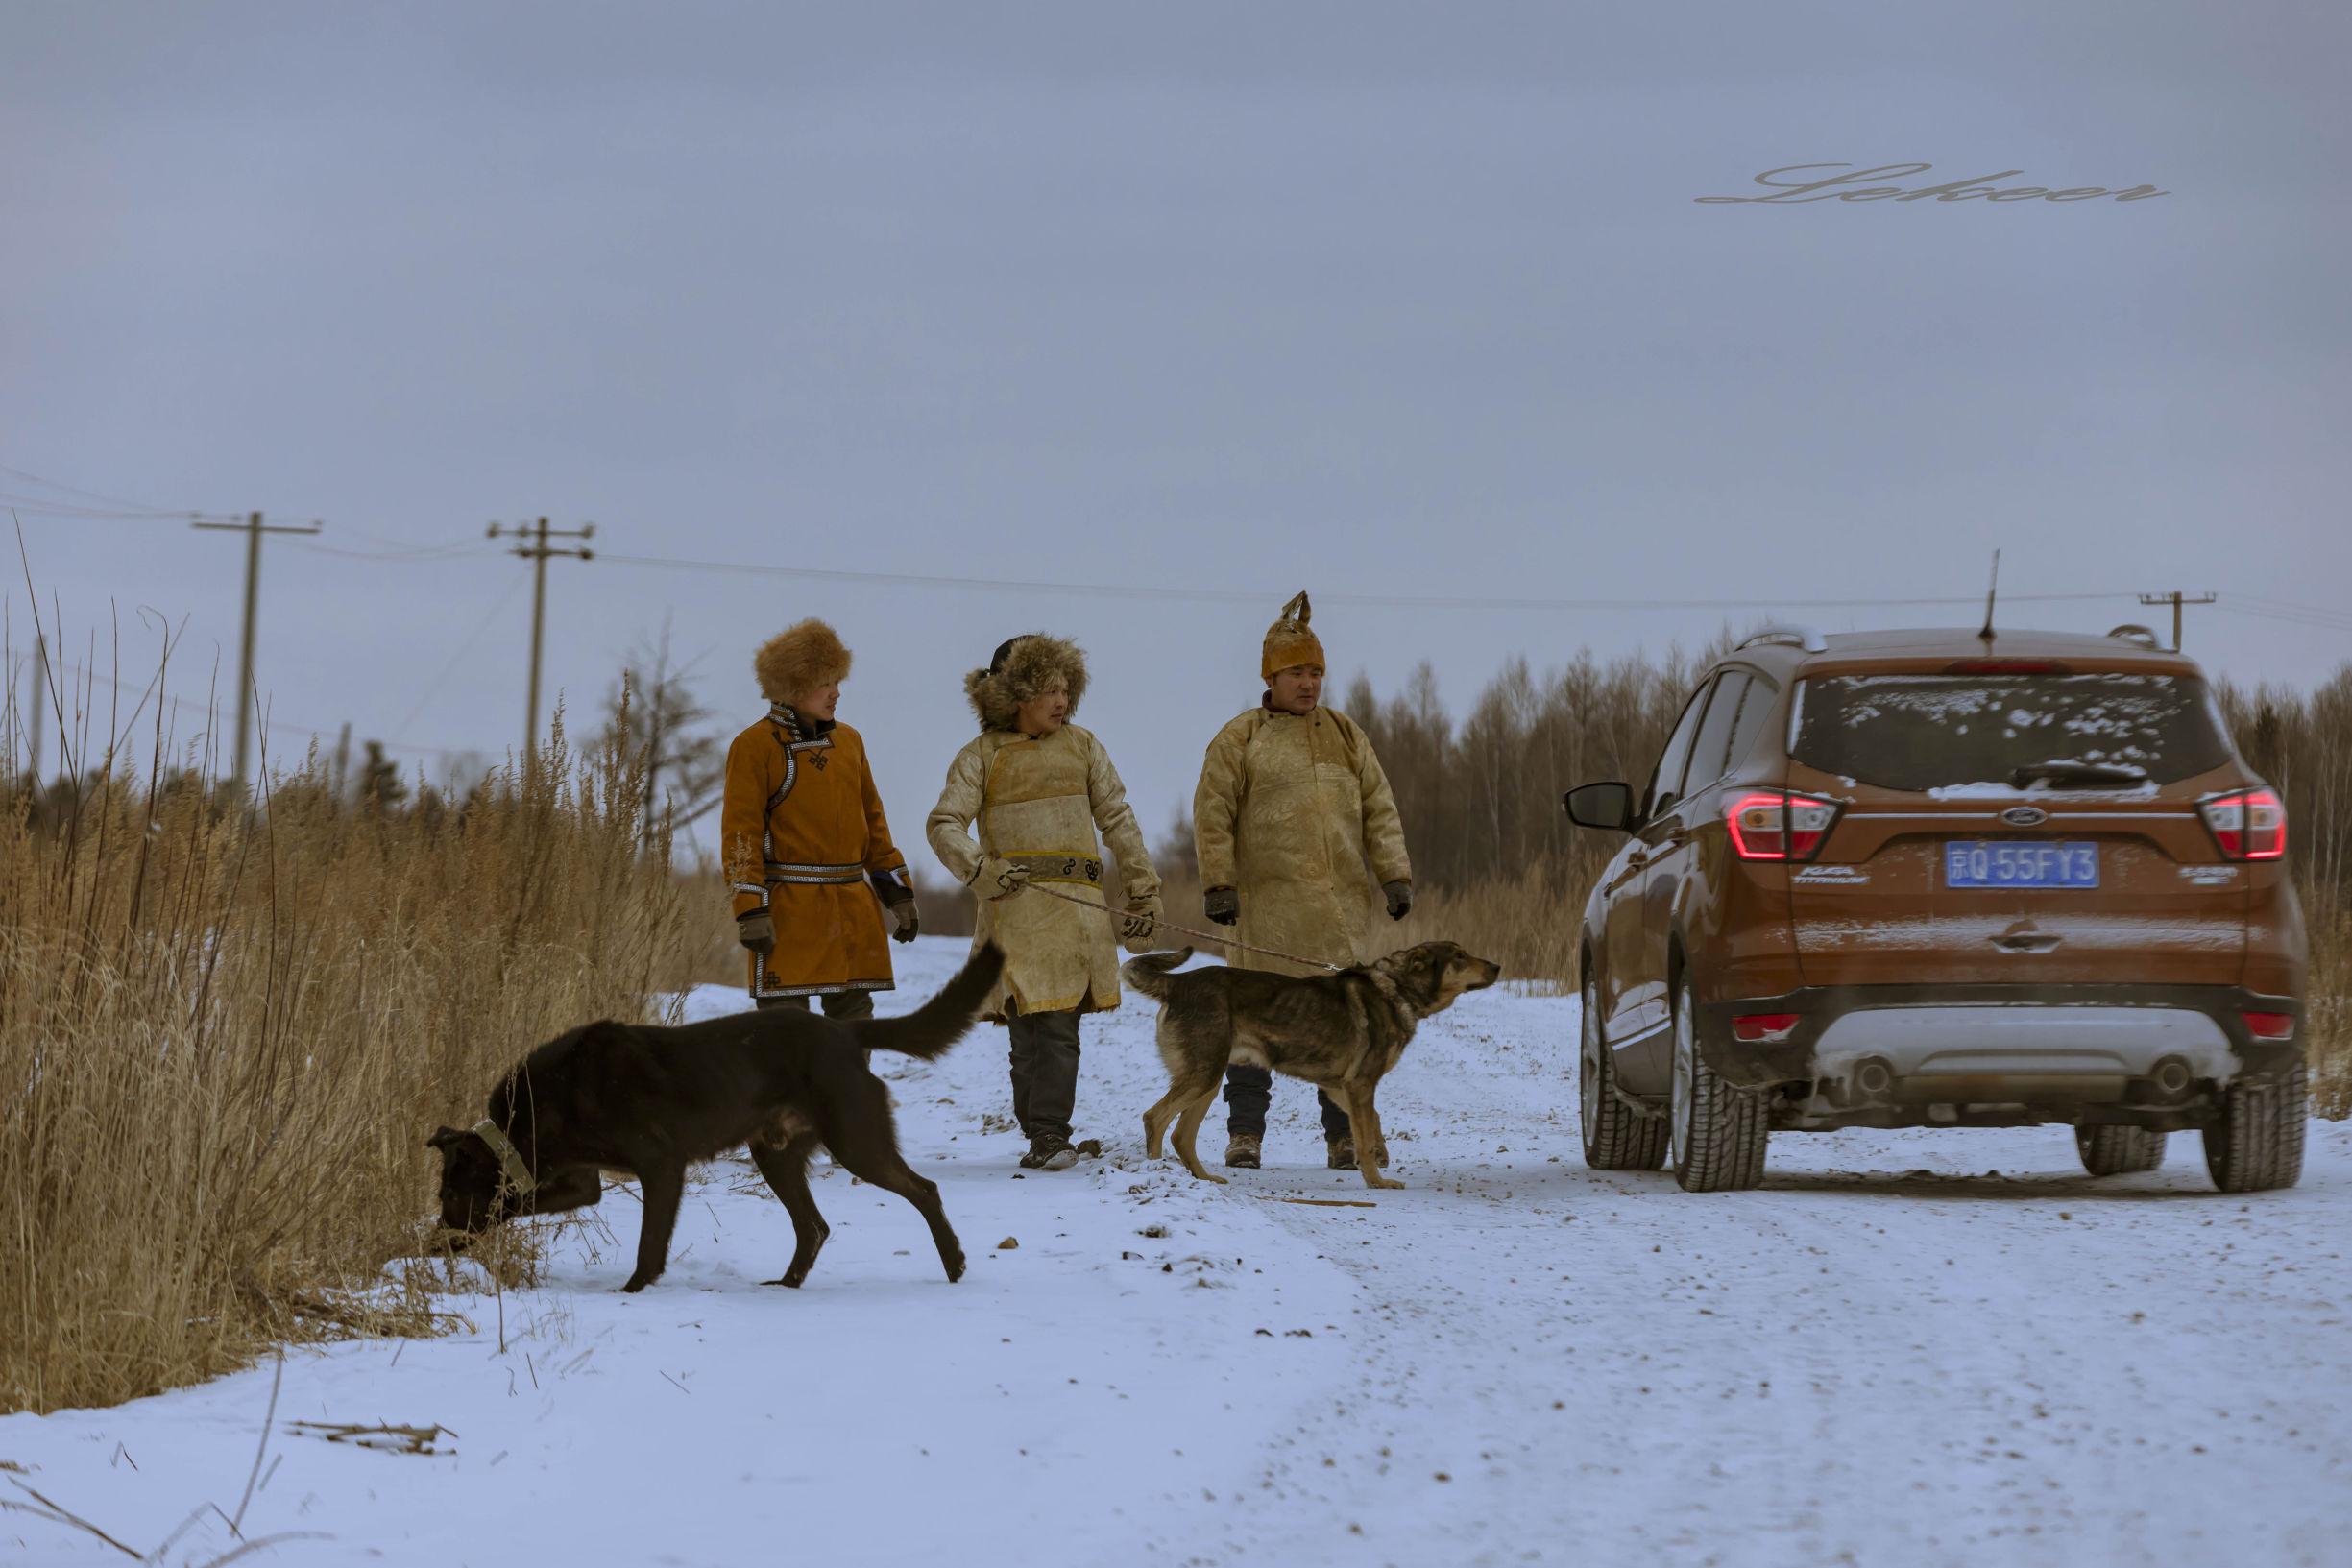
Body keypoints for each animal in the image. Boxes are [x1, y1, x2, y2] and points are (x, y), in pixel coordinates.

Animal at [432, 945, 1002, 1288]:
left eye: (450, 1195)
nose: (435, 1243)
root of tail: (846, 1034)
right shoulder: (581, 1181)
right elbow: (521, 1201)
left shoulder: (661, 1165)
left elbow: (650, 1243)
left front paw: (633, 1290)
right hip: (776, 1154)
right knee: (814, 1227)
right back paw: (786, 1286)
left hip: (855, 1139)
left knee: (923, 1190)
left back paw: (954, 1263)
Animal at [1124, 945, 1495, 1189]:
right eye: (1459, 957)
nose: (1497, 966)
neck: (1398, 990)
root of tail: (1177, 983)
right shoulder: (1361, 1083)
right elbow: (1364, 1137)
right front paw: (1377, 1180)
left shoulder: (1341, 1086)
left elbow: (1371, 1122)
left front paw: (1379, 1155)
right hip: (1205, 1074)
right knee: (1155, 1118)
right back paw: (1156, 1171)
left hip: (1209, 1079)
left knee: (1181, 1134)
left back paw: (1203, 1178)